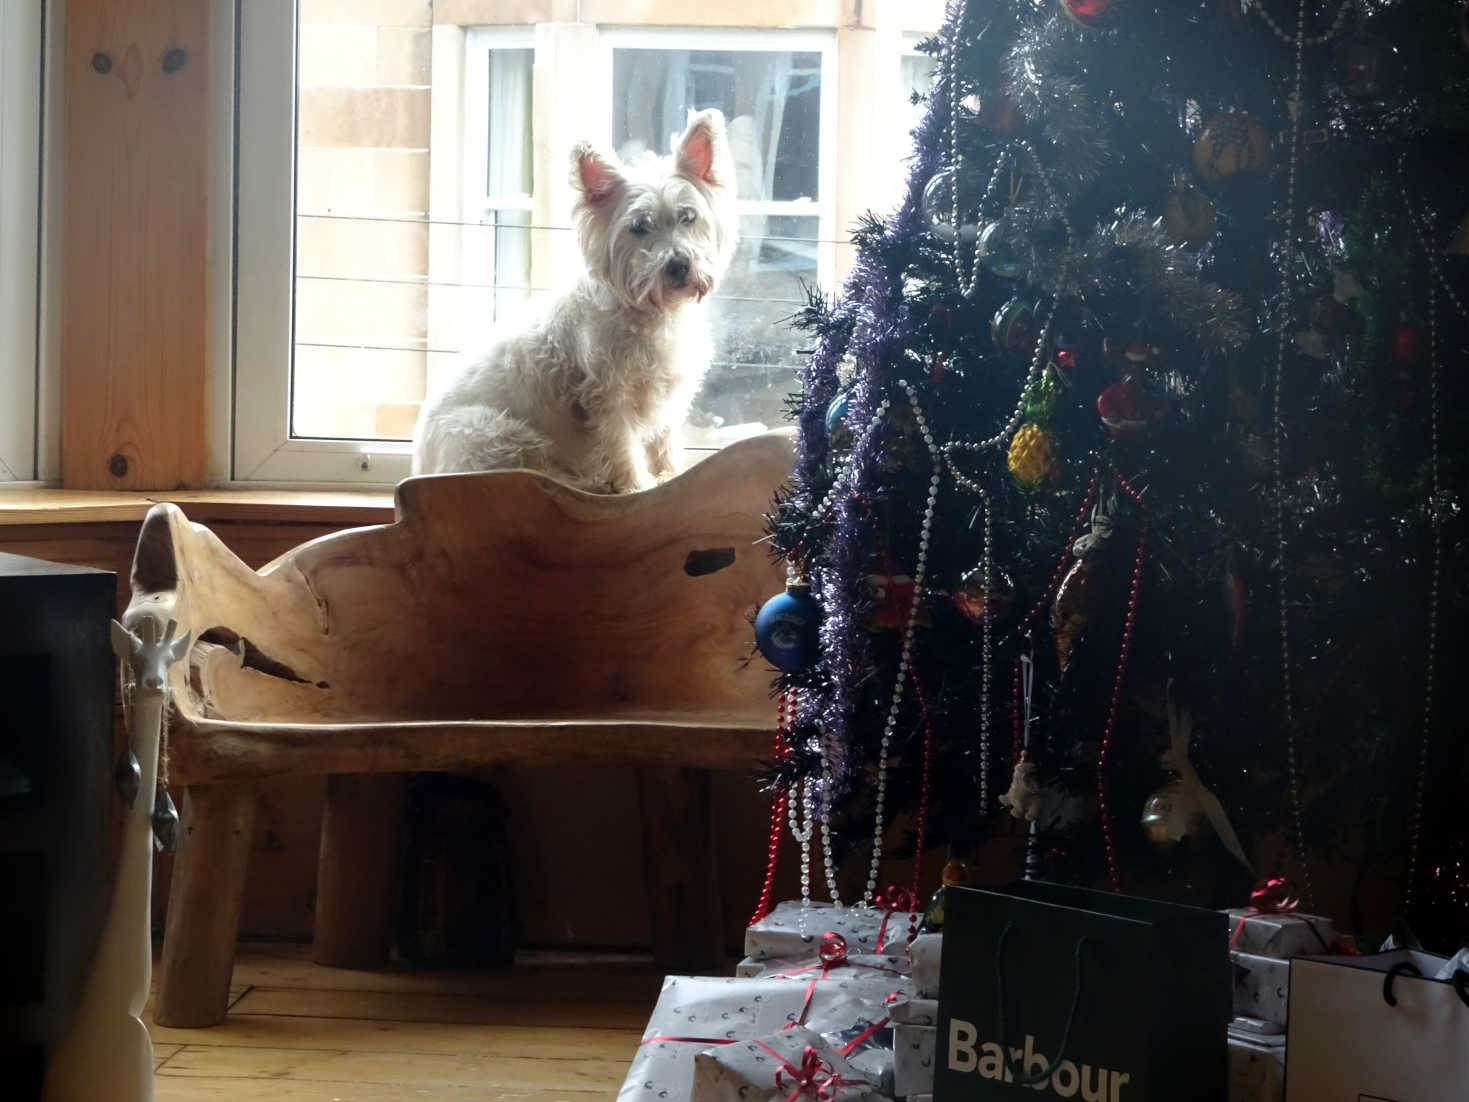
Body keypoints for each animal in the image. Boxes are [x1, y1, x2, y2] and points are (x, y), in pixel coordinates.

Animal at [411, 110, 734, 490]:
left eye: (688, 216)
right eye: (639, 226)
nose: (679, 265)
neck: (650, 311)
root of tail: (419, 468)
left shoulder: (666, 392)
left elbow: (664, 441)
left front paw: (671, 476)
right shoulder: (608, 395)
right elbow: (623, 446)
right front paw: (637, 486)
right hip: (492, 431)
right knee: (529, 472)